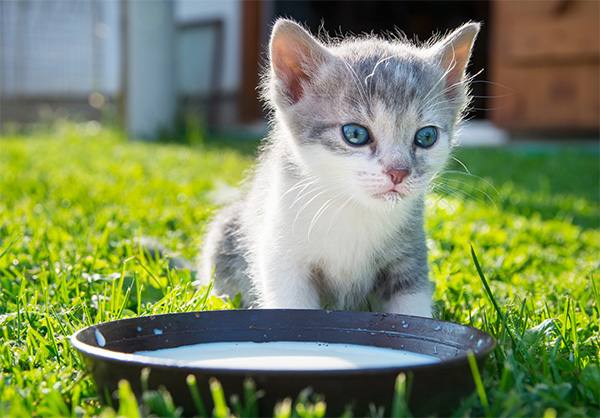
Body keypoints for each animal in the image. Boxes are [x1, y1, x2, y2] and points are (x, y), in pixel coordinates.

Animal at [200, 18, 478, 316]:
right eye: (355, 134)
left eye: (426, 136)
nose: (399, 172)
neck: (351, 207)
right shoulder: (282, 254)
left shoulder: (410, 256)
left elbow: (412, 308)